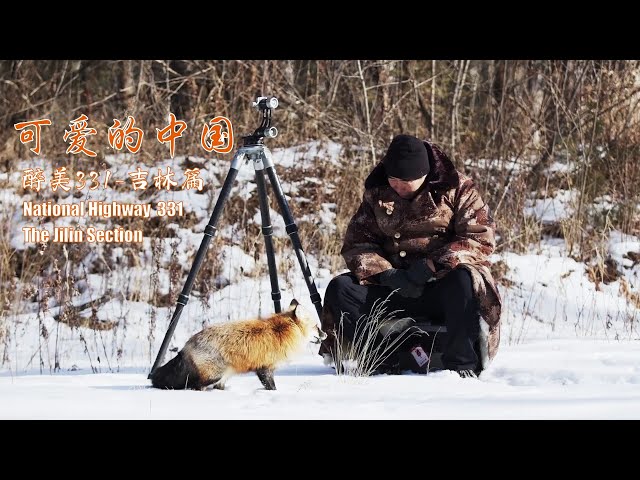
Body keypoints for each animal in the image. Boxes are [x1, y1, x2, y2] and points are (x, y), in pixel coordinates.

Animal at [148, 300, 322, 390]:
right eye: (316, 327)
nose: (325, 334)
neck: (282, 332)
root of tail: (187, 344)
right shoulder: (264, 368)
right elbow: (271, 386)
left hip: (222, 377)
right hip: (214, 375)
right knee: (195, 387)